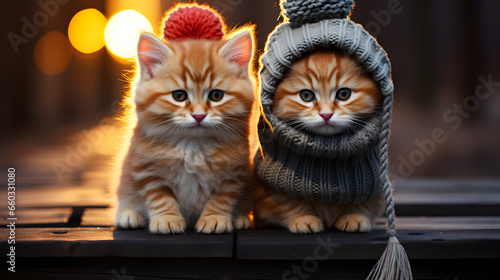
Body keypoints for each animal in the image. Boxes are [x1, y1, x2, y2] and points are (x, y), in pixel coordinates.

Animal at [115, 30, 256, 234]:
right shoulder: (144, 168)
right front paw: (167, 219)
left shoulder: (234, 173)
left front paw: (214, 218)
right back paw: (129, 215)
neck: (193, 145)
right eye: (179, 95)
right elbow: (159, 196)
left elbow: (222, 197)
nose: (198, 115)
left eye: (216, 95)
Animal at [256, 50, 384, 234]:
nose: (326, 114)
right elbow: (290, 202)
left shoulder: (371, 185)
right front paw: (304, 219)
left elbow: (362, 202)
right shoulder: (271, 187)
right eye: (306, 96)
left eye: (344, 94)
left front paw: (354, 216)